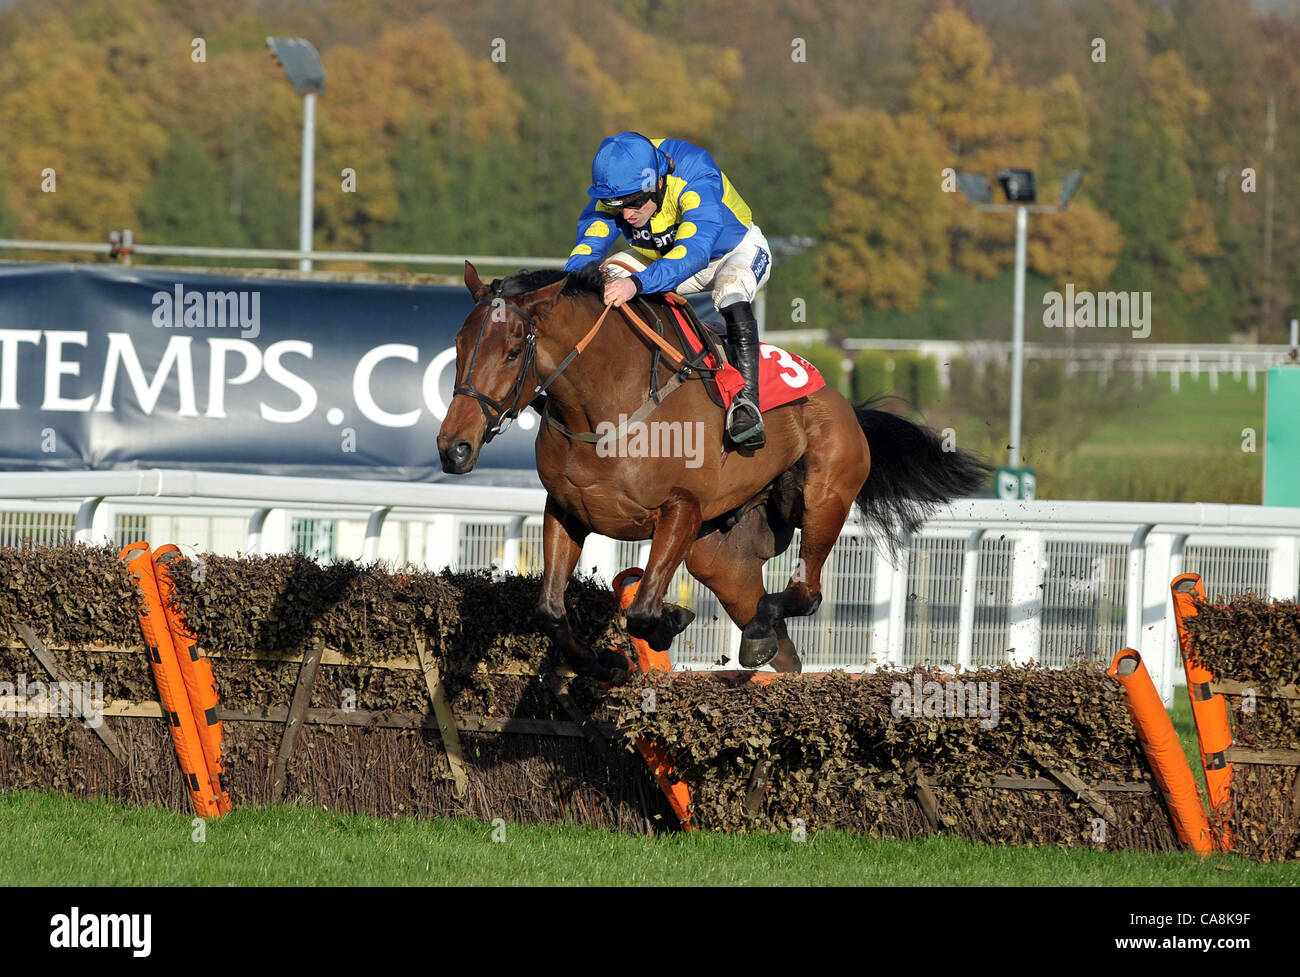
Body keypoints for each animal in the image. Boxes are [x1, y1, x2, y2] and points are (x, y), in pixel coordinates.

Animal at [439, 263, 993, 680]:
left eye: (514, 351)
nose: (454, 447)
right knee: (784, 647)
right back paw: (762, 642)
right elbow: (550, 613)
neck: (605, 410)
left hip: (824, 497)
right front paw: (605, 663)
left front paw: (670, 618)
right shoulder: (567, 510)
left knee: (806, 592)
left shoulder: (682, 509)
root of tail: (844, 403)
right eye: (460, 345)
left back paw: (760, 627)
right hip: (721, 557)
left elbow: (643, 610)